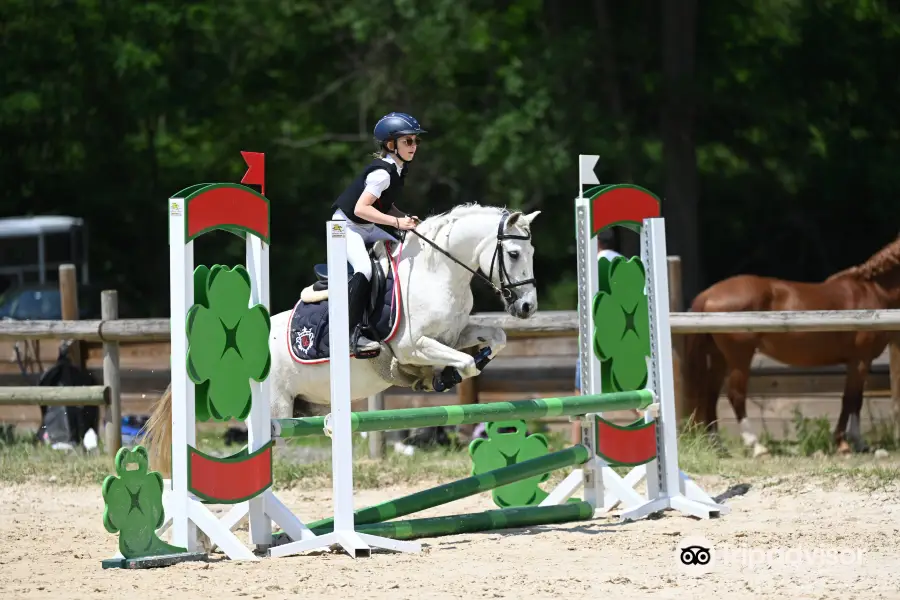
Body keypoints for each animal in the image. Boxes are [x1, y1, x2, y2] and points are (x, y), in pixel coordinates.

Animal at [147, 204, 536, 476]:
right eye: (514, 254)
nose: (528, 307)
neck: (437, 273)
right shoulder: (412, 345)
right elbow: (465, 363)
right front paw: (443, 376)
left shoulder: (455, 334)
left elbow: (496, 339)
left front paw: (452, 370)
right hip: (276, 412)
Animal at [684, 234, 900, 454]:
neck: (873, 291)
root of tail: (709, 294)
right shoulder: (860, 360)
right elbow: (851, 399)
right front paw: (846, 443)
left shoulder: (858, 361)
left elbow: (854, 400)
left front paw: (854, 443)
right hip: (739, 357)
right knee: (735, 395)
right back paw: (757, 446)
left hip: (719, 357)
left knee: (711, 394)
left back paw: (717, 446)